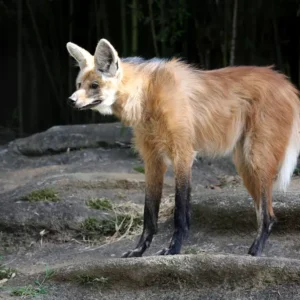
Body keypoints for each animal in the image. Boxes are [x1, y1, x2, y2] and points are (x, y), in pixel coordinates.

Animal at [65, 37, 300, 258]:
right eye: (78, 84)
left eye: (94, 85)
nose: (71, 100)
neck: (146, 95)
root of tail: (287, 83)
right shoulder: (153, 160)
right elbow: (149, 213)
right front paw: (138, 251)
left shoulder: (183, 153)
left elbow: (180, 212)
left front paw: (173, 249)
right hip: (244, 165)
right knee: (263, 212)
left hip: (256, 158)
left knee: (269, 216)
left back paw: (255, 252)